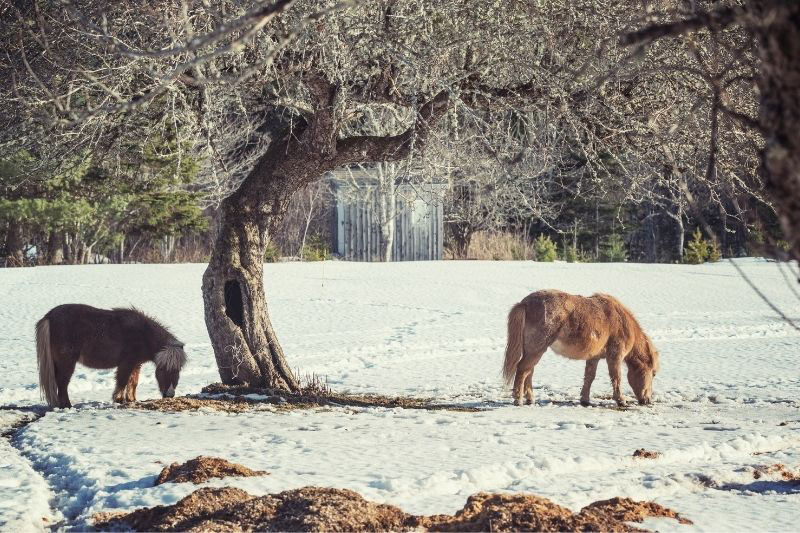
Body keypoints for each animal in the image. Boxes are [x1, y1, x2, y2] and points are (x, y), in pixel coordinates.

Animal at [36, 304, 187, 408]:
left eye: (178, 370)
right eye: (161, 369)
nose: (170, 394)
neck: (143, 334)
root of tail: (49, 317)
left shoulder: (136, 364)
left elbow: (133, 382)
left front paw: (131, 399)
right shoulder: (126, 364)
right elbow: (122, 381)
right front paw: (119, 400)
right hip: (66, 362)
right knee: (62, 383)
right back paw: (67, 405)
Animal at [502, 290, 659, 407]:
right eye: (653, 373)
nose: (647, 400)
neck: (622, 322)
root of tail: (524, 303)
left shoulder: (594, 357)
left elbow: (589, 377)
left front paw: (585, 400)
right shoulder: (615, 357)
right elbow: (616, 378)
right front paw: (621, 400)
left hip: (533, 350)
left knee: (529, 371)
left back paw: (530, 399)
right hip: (536, 350)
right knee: (523, 370)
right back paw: (518, 400)